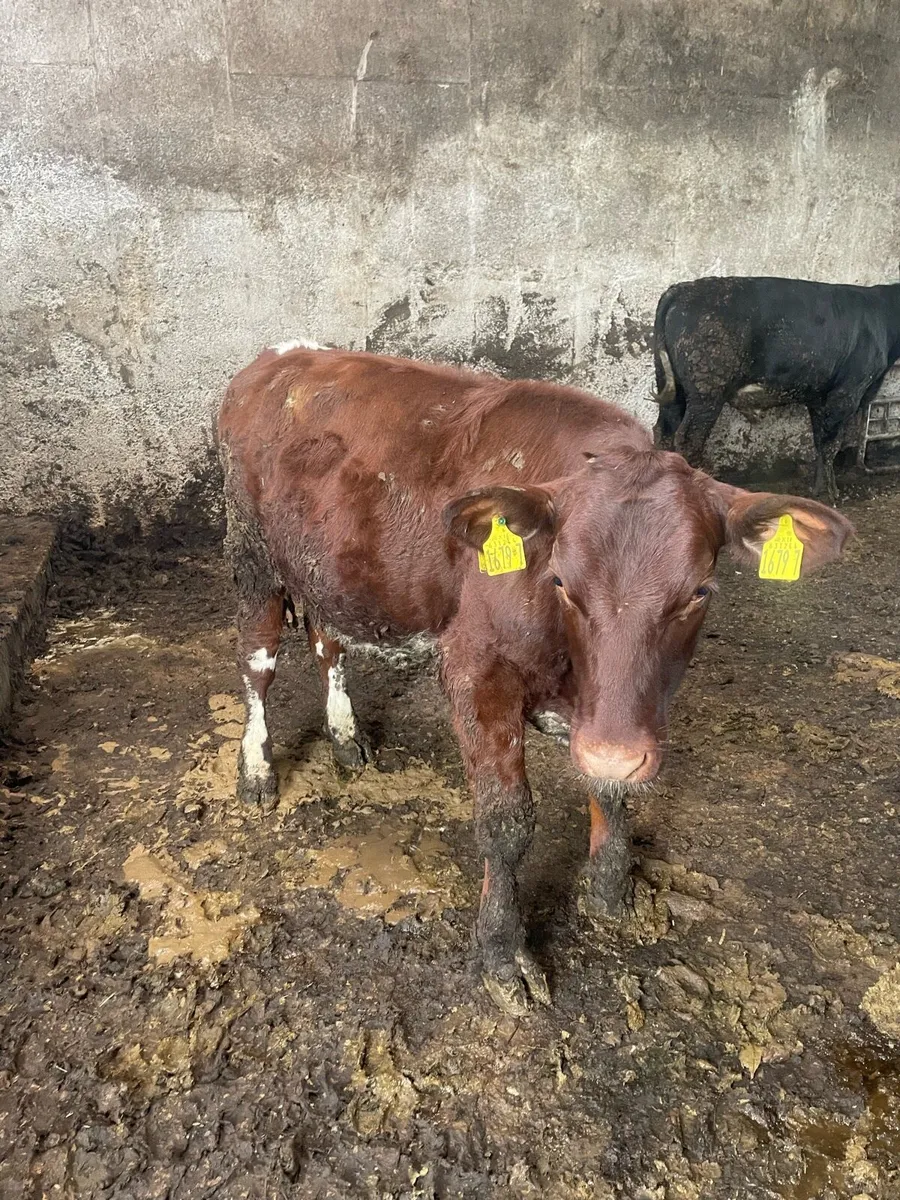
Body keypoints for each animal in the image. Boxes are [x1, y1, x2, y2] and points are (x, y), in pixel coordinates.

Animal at [218, 343, 854, 1015]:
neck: (567, 668)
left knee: (327, 642)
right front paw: (503, 952)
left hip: (330, 572)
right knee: (258, 664)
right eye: (561, 582)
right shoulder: (475, 672)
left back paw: (345, 739)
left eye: (700, 591)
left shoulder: (614, 718)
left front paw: (610, 891)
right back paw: (256, 771)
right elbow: (507, 823)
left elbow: (613, 787)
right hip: (253, 556)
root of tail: (281, 356)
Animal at [651, 276, 900, 501]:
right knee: (688, 439)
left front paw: (817, 489)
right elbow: (831, 444)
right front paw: (833, 494)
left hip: (671, 386)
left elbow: (820, 441)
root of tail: (681, 289)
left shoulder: (819, 397)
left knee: (664, 431)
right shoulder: (846, 394)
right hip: (707, 392)